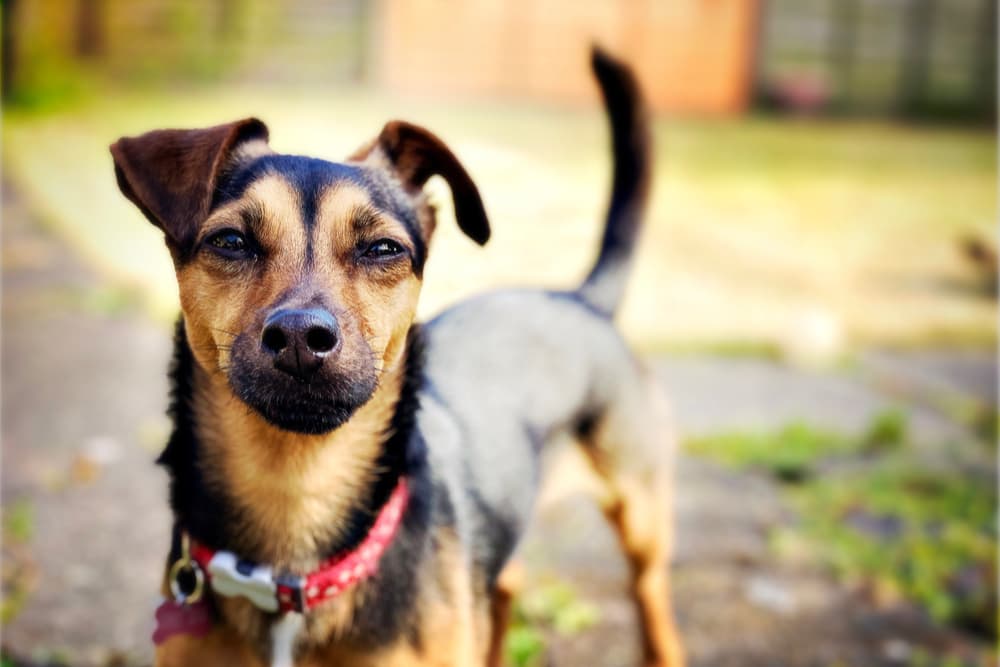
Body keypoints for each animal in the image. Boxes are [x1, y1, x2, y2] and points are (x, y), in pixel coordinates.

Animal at [111, 48, 688, 667]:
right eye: (230, 241)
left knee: (650, 593)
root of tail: (580, 299)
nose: (301, 336)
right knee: (510, 580)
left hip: (642, 517)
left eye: (383, 249)